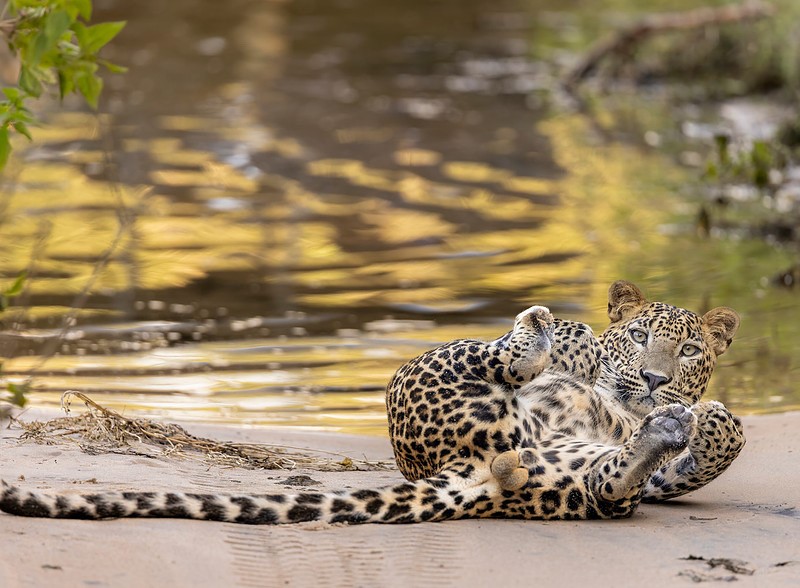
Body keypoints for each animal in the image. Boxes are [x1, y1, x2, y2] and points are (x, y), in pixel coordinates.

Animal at [0, 280, 744, 524]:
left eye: (688, 351)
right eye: (642, 336)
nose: (656, 379)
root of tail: (478, 473)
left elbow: (723, 430)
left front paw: (690, 419)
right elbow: (585, 349)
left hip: (560, 473)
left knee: (610, 483)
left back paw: (660, 425)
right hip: (437, 380)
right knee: (508, 358)